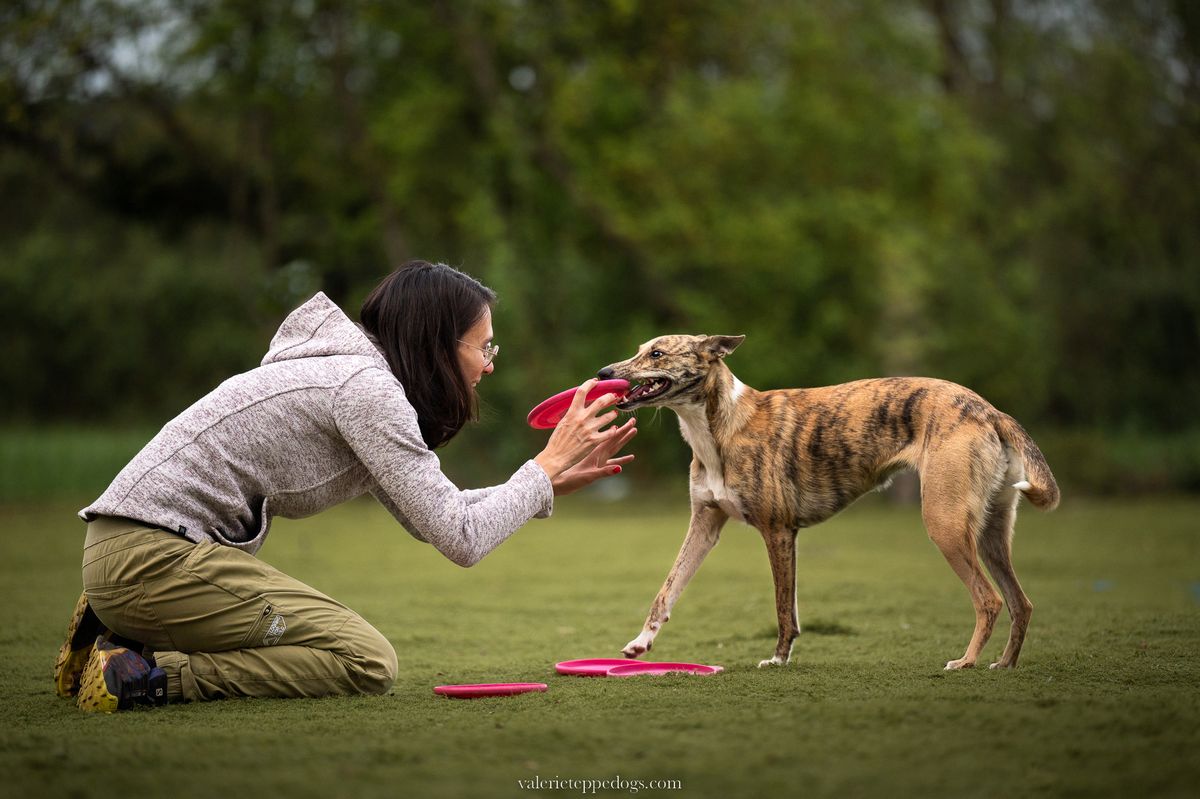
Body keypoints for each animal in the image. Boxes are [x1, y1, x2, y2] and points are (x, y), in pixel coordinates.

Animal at [600, 333, 1060, 667]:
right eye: (640, 350)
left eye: (656, 353)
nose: (605, 371)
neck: (722, 425)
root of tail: (990, 411)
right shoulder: (705, 525)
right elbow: (667, 589)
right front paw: (640, 643)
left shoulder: (778, 532)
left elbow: (783, 609)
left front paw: (778, 659)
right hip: (990, 535)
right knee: (1022, 603)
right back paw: (1003, 665)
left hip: (945, 525)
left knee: (989, 599)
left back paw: (965, 663)